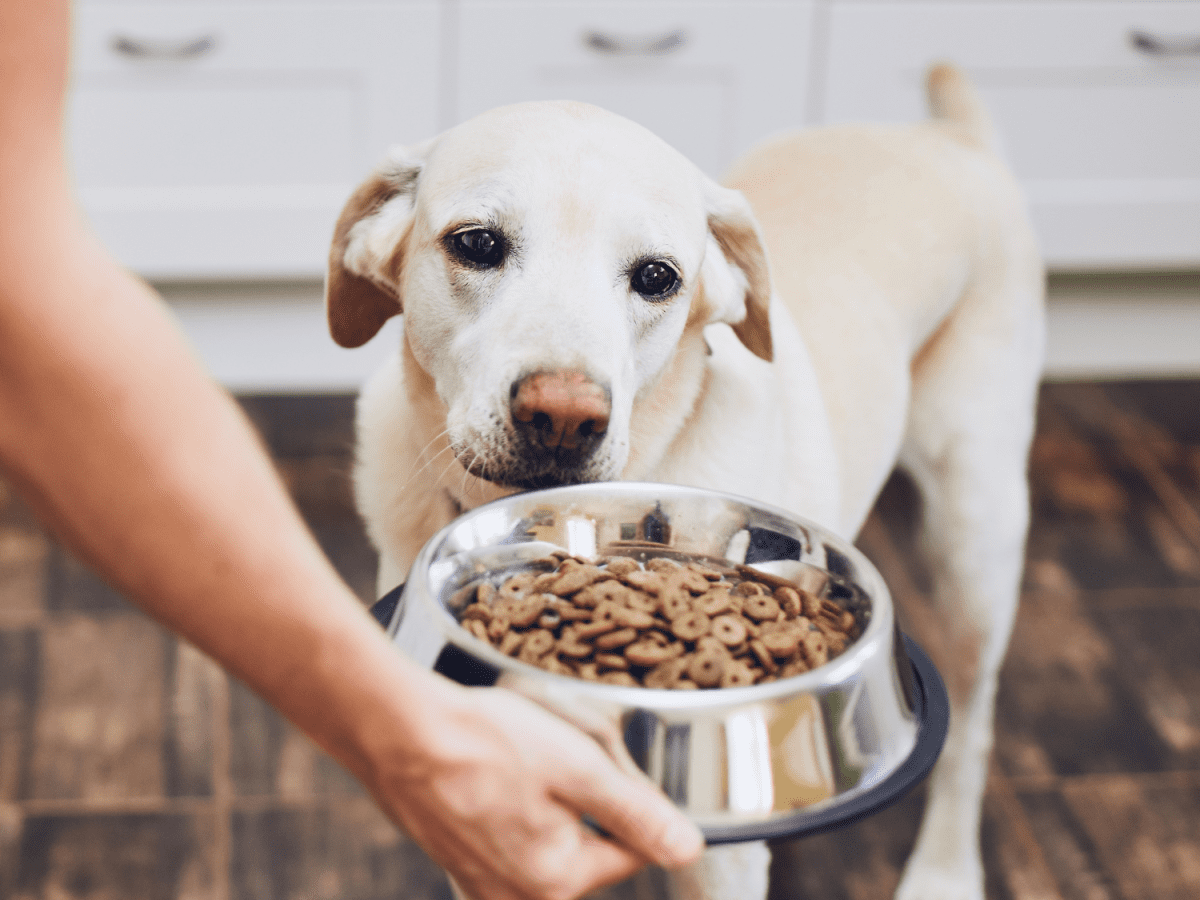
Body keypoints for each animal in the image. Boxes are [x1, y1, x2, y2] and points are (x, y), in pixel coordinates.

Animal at [326, 65, 1041, 900]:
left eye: (657, 277)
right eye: (475, 243)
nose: (563, 418)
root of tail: (951, 137)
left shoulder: (720, 857)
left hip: (975, 542)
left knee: (974, 728)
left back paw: (944, 871)